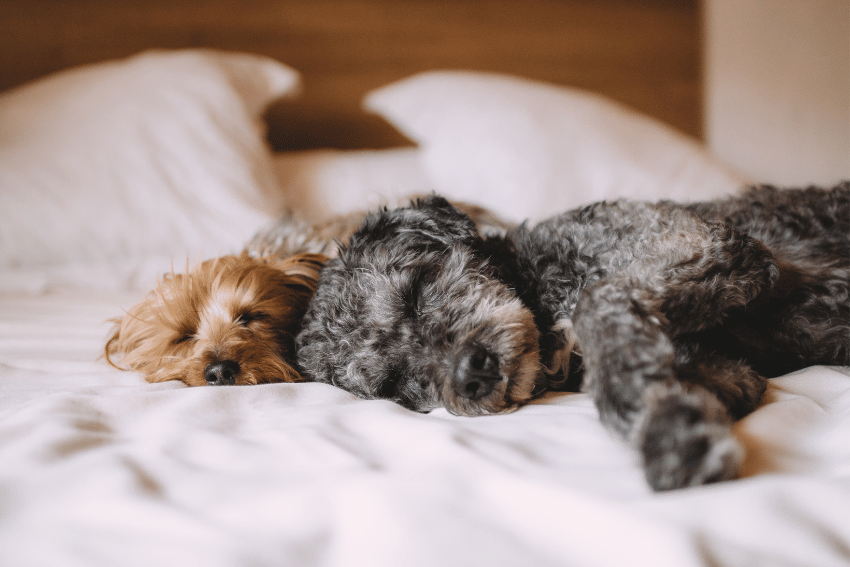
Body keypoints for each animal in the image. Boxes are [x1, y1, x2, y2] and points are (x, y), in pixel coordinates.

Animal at [294, 183, 848, 492]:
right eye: (396, 385)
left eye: (414, 290)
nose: (470, 375)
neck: (542, 281)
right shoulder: (731, 369)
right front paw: (669, 411)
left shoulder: (710, 242)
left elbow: (595, 304)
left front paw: (669, 438)